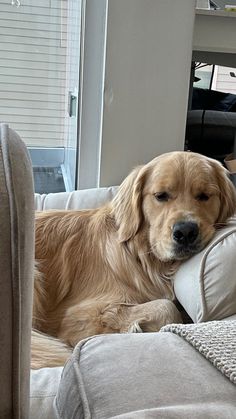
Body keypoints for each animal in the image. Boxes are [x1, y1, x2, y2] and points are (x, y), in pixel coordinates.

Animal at [31, 153, 236, 370]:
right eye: (161, 196)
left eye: (204, 195)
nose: (186, 232)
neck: (140, 255)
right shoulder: (78, 316)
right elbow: (166, 307)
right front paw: (133, 329)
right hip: (34, 274)